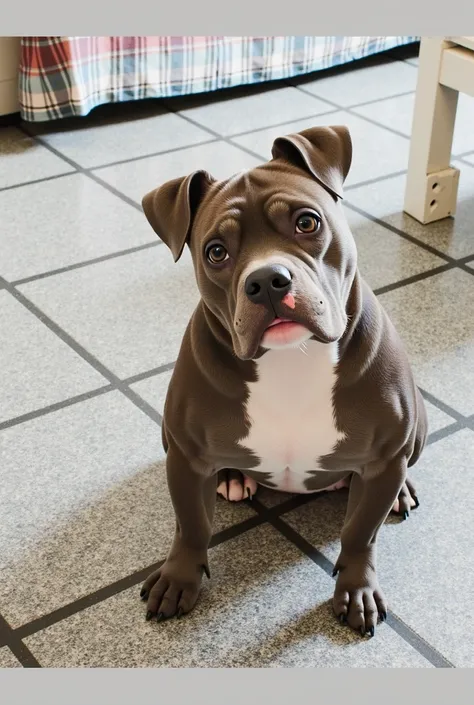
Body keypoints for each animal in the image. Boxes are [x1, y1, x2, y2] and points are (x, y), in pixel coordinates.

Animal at [139, 125, 427, 637]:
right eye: (216, 252)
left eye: (307, 223)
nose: (268, 280)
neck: (291, 360)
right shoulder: (185, 457)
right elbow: (191, 524)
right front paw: (178, 578)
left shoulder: (383, 460)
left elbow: (360, 534)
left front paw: (357, 588)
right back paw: (233, 477)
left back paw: (403, 493)